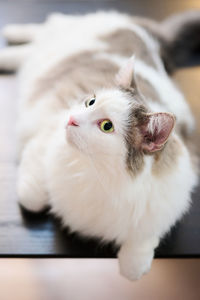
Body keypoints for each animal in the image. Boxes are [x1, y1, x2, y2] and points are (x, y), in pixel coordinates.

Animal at [0, 9, 199, 282]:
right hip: (73, 32)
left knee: (33, 47)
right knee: (44, 29)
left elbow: (138, 256)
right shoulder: (45, 135)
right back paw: (9, 40)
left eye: (106, 126)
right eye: (90, 102)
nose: (71, 119)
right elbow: (32, 198)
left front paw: (134, 263)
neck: (99, 175)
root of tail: (148, 30)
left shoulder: (168, 200)